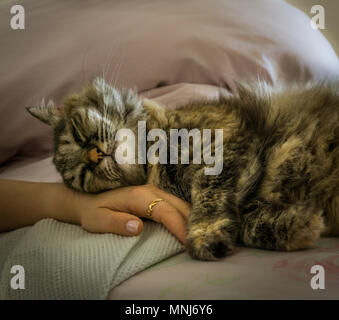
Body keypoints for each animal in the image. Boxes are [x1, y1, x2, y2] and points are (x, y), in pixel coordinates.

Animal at [27, 77, 339, 260]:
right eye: (84, 175)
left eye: (78, 135)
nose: (95, 155)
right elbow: (246, 223)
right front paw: (300, 226)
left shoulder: (222, 142)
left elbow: (209, 197)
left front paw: (204, 235)